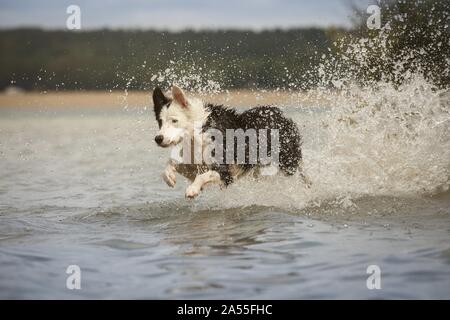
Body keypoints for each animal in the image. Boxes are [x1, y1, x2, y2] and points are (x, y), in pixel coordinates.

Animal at [153, 86, 304, 199]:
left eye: (174, 121)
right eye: (160, 121)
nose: (158, 138)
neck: (200, 130)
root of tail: (281, 115)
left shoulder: (225, 171)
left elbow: (204, 175)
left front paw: (193, 189)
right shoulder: (193, 163)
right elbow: (171, 163)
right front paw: (169, 176)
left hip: (288, 161)